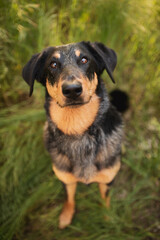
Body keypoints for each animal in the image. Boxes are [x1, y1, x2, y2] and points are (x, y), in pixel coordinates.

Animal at [22, 41, 125, 229]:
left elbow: (105, 198)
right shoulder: (65, 178)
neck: (78, 129)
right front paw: (66, 216)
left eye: (84, 59)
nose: (72, 90)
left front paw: (107, 217)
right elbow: (69, 197)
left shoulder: (107, 179)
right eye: (53, 64)